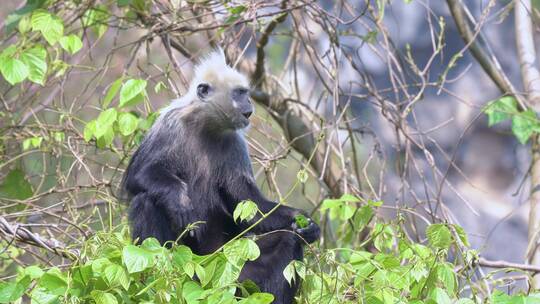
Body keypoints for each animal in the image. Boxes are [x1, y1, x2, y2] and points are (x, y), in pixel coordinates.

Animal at [122, 48, 320, 302]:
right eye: (239, 93)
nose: (249, 105)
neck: (207, 126)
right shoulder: (169, 125)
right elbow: (137, 175)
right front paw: (179, 200)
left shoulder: (235, 143)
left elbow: (251, 204)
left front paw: (308, 225)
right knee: (146, 201)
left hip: (235, 271)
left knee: (289, 239)